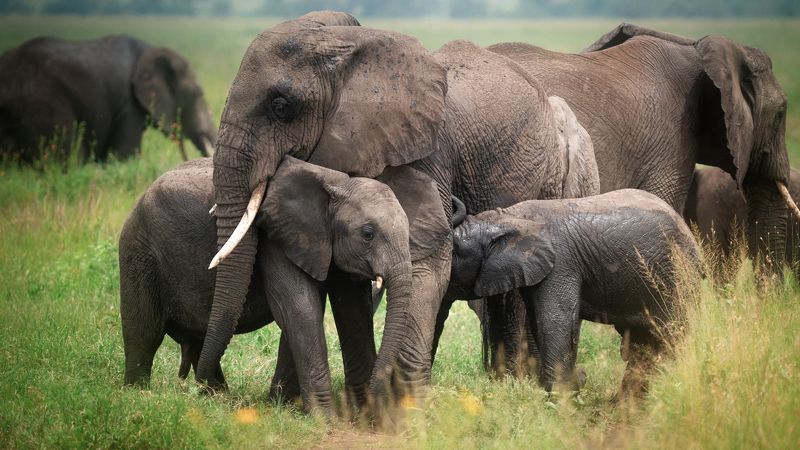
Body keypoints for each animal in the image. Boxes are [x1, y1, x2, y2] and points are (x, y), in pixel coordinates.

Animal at [119, 155, 421, 413]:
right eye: (368, 234)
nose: (381, 396)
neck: (338, 182)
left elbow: (326, 310)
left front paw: (285, 406)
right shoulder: (277, 240)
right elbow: (299, 309)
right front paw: (325, 418)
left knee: (200, 340)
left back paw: (214, 398)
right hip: (139, 252)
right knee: (144, 334)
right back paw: (138, 395)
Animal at [200, 10, 598, 404]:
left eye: (281, 107)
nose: (208, 390)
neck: (349, 49)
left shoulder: (428, 149)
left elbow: (424, 260)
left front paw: (404, 402)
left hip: (556, 176)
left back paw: (519, 382)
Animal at [444, 190, 701, 394]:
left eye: (454, 251)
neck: (507, 217)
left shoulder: (561, 263)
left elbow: (555, 320)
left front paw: (561, 394)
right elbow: (539, 322)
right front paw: (572, 383)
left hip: (678, 274)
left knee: (671, 334)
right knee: (643, 340)